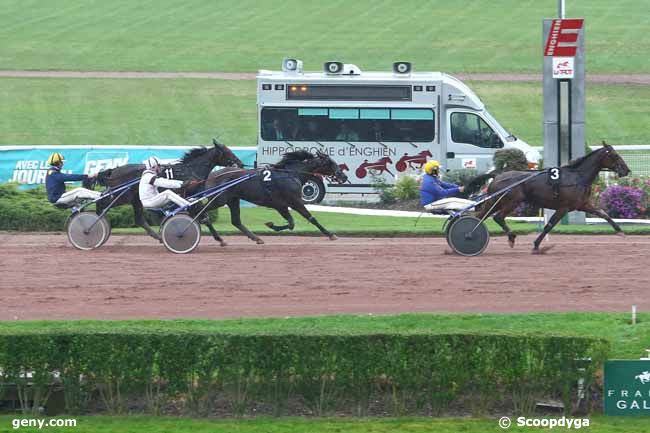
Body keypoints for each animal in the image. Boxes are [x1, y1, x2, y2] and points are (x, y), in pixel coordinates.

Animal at [83, 139, 240, 238]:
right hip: (121, 196)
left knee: (139, 220)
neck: (189, 170)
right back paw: (95, 222)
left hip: (135, 200)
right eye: (227, 151)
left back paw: (156, 236)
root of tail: (114, 170)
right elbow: (203, 216)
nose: (240, 162)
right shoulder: (188, 196)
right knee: (102, 202)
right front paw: (219, 238)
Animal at [190, 149, 346, 245]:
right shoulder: (294, 202)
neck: (291, 174)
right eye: (332, 163)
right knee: (201, 211)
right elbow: (310, 218)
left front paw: (271, 225)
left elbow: (291, 223)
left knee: (236, 221)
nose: (343, 176)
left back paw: (255, 238)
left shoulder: (281, 206)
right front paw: (330, 234)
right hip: (218, 199)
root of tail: (212, 175)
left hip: (233, 200)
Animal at [466, 144, 628, 253]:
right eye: (614, 155)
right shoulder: (563, 208)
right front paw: (536, 245)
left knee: (479, 216)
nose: (626, 170)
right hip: (511, 202)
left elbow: (603, 213)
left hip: (494, 201)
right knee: (497, 217)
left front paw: (620, 231)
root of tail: (497, 175)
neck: (576, 176)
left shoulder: (582, 204)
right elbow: (549, 225)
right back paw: (509, 237)